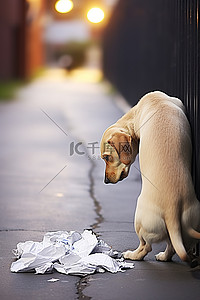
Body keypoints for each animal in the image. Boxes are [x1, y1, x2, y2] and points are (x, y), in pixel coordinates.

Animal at [101, 91, 200, 264]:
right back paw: (161, 256)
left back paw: (132, 255)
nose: (105, 181)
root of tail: (172, 209)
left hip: (139, 222)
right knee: (169, 246)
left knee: (145, 247)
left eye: (106, 157)